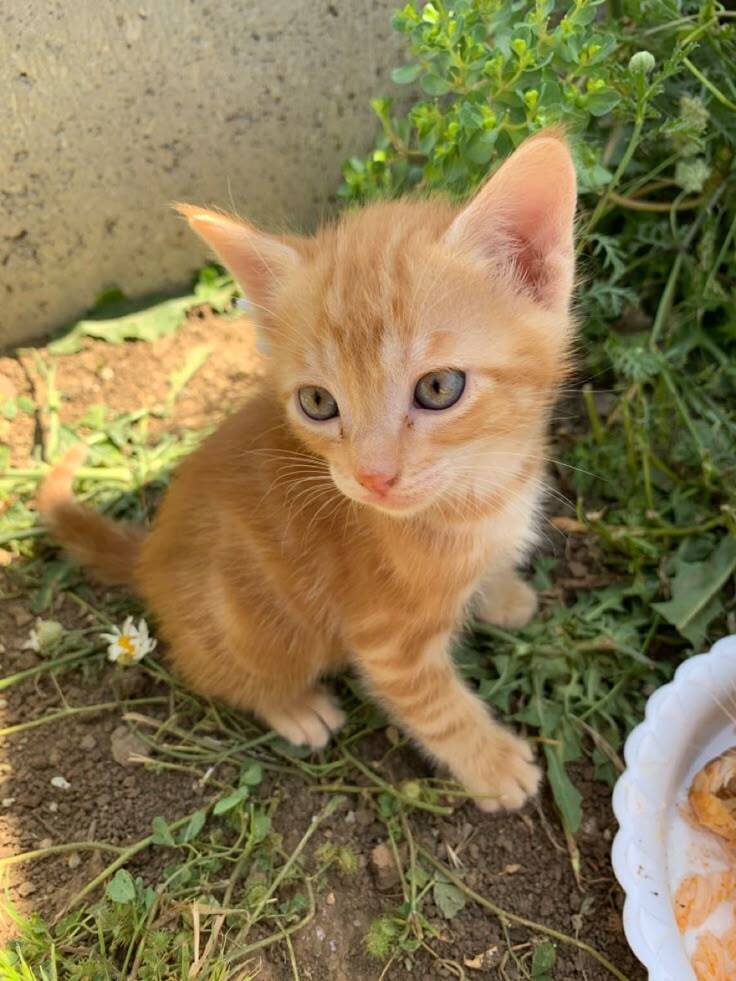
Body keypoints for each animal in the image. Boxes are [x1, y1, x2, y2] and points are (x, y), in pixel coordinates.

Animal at [39, 129, 577, 812]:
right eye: (318, 402)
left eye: (438, 388)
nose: (373, 477)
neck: (483, 490)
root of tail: (149, 555)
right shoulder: (386, 641)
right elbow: (437, 709)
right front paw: (493, 765)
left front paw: (502, 593)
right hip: (253, 628)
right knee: (218, 672)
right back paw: (294, 707)